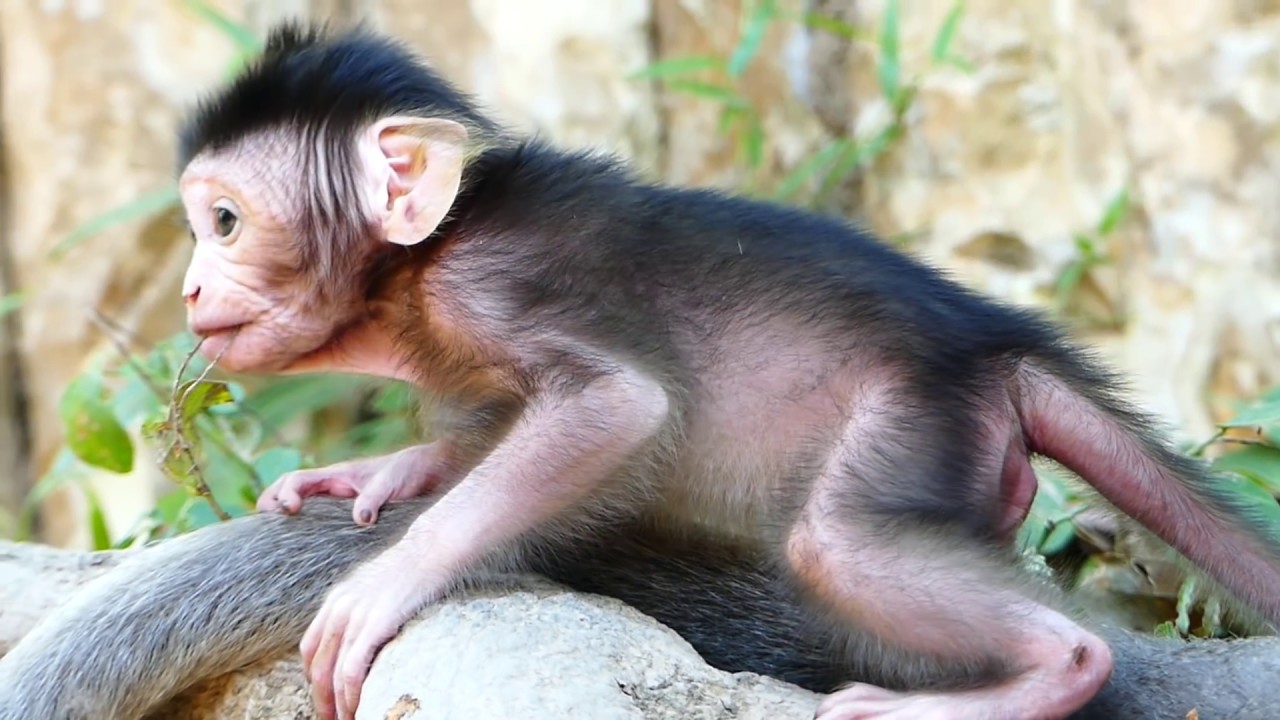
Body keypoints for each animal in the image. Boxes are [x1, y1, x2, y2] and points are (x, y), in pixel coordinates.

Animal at [11, 20, 1280, 720]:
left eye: (222, 222)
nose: (188, 290)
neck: (417, 267)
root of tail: (991, 347)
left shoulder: (489, 287)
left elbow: (616, 407)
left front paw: (388, 574)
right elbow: (483, 432)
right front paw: (373, 479)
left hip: (919, 412)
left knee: (841, 548)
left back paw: (1050, 672)